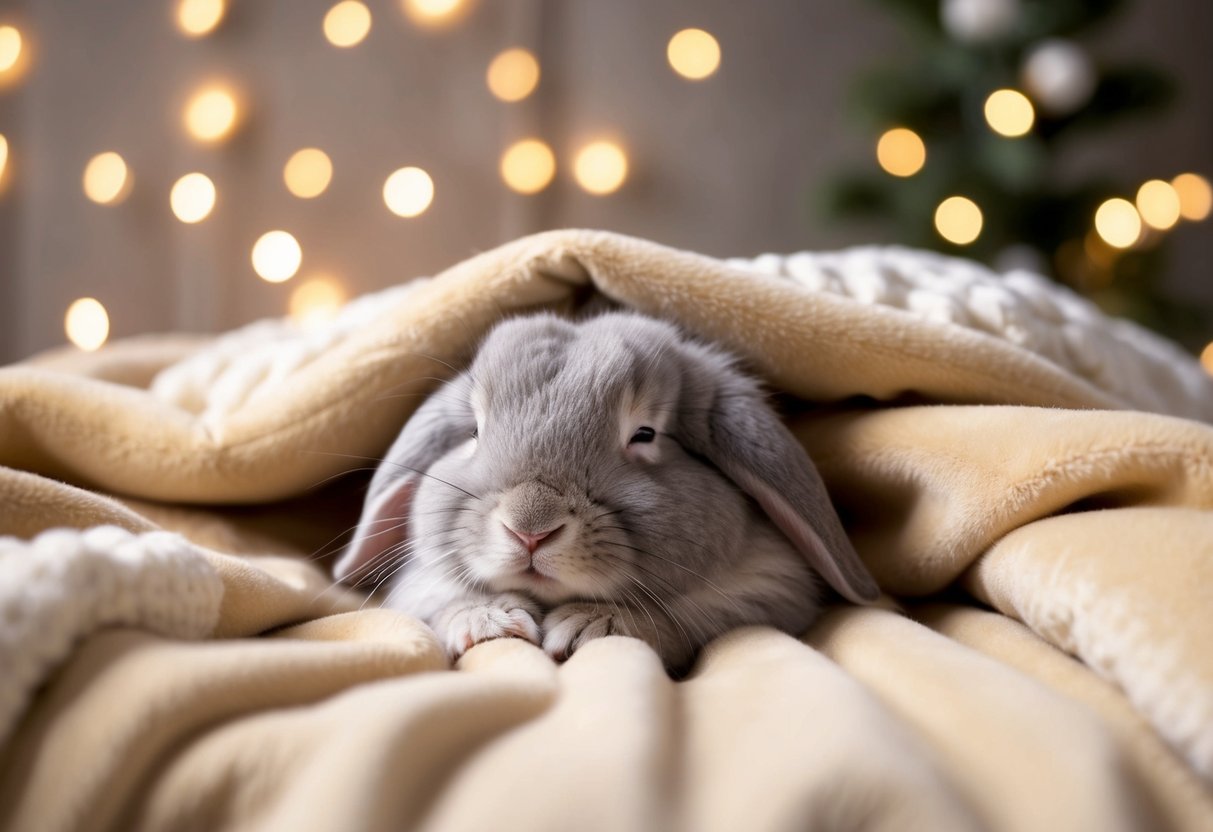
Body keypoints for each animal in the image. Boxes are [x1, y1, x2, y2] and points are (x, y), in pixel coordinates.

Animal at [333, 311, 879, 672]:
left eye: (645, 434)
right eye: (473, 431)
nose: (529, 529)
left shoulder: (770, 591)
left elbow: (676, 618)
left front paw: (588, 626)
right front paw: (489, 621)